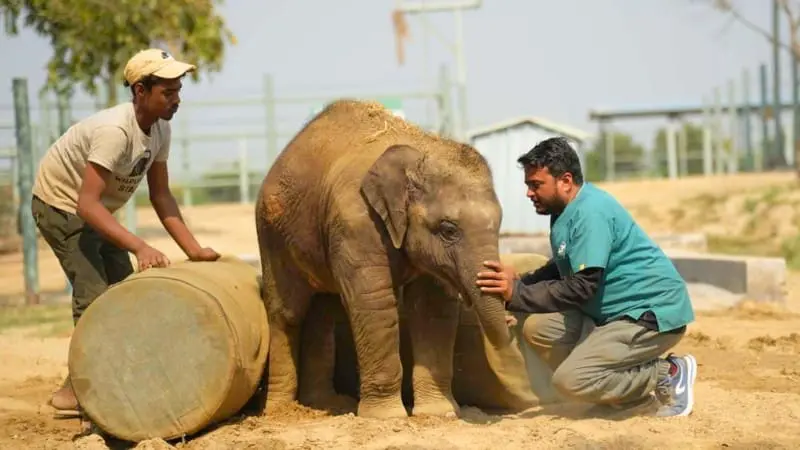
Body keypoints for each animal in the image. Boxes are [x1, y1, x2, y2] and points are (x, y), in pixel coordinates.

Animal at [254, 99, 514, 419]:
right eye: (448, 230)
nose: (511, 318)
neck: (418, 147)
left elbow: (431, 306)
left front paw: (438, 413)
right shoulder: (357, 222)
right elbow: (374, 302)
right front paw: (388, 417)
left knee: (323, 312)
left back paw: (328, 405)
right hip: (271, 234)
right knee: (287, 312)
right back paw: (281, 413)